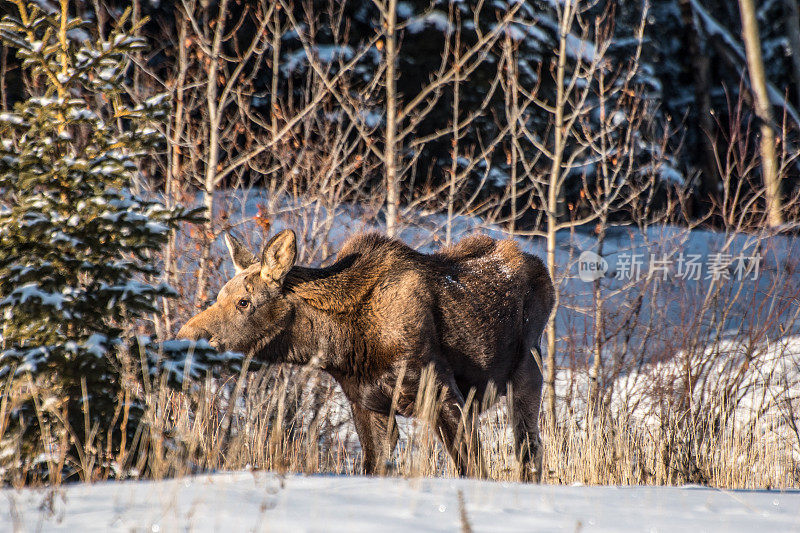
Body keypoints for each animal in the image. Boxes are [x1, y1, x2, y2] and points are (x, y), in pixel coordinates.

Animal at [176, 228, 552, 478]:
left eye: (244, 301)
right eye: (220, 296)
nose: (187, 337)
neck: (341, 346)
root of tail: (539, 267)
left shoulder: (442, 392)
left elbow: (472, 468)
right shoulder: (368, 404)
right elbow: (375, 466)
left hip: (527, 373)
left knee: (530, 452)